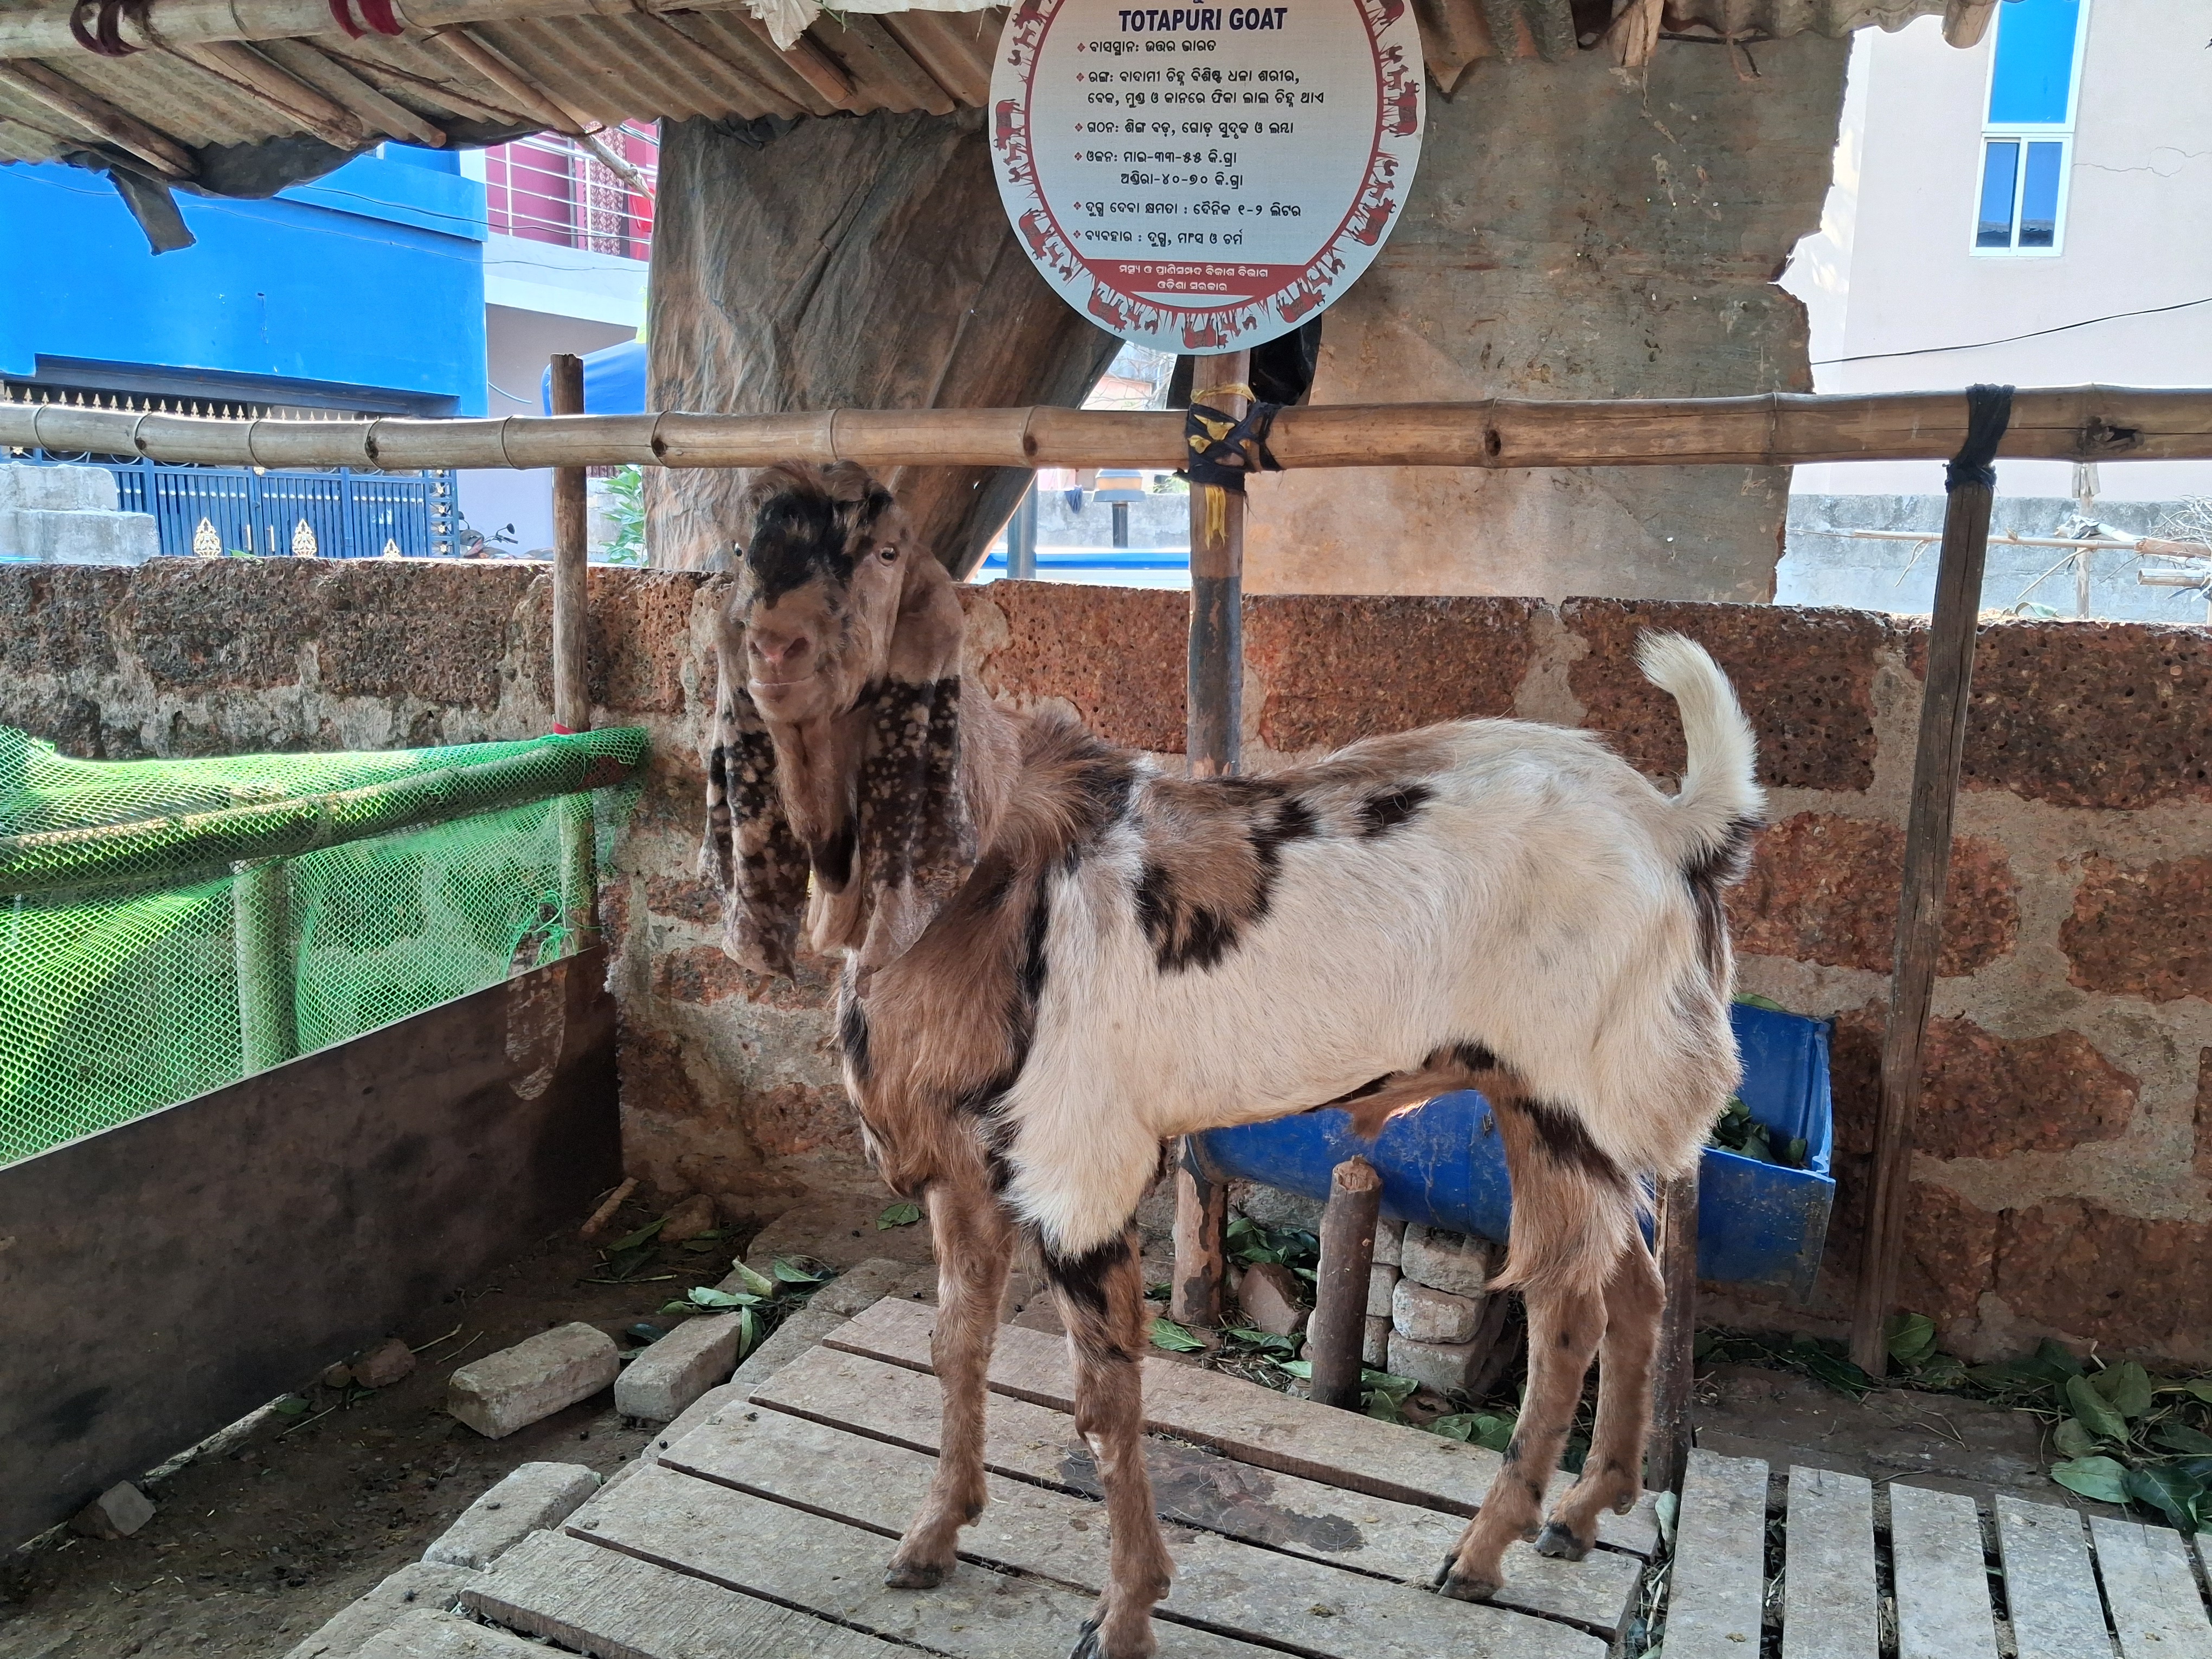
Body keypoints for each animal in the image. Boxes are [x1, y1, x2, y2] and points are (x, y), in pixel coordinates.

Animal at [702, 461, 1765, 1659]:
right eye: (736, 549)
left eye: (887, 553)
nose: (778, 648)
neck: (973, 873)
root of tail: (1677, 826)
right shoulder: (962, 1168)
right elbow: (956, 1344)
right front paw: (935, 1537)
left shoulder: (1077, 1164)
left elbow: (1104, 1396)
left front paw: (1125, 1612)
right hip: (1560, 1109)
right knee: (1633, 1284)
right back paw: (1584, 1515)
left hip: (1567, 1091)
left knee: (1569, 1312)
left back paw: (1482, 1555)